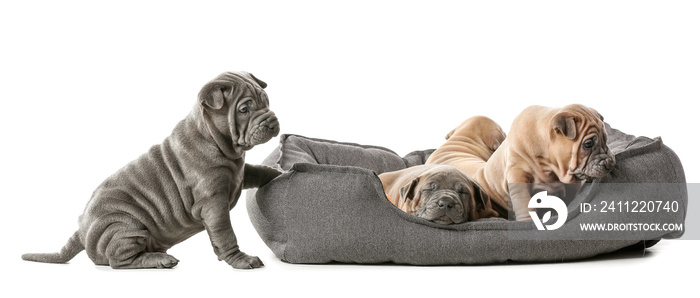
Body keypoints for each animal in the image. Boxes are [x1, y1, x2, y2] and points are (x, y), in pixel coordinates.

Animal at [24, 71, 282, 270]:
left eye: (266, 100)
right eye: (244, 109)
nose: (272, 122)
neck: (218, 141)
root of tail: (81, 229)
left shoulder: (239, 173)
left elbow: (257, 171)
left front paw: (279, 174)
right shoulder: (213, 201)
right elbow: (225, 233)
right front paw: (241, 260)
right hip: (124, 227)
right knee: (119, 261)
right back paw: (160, 260)